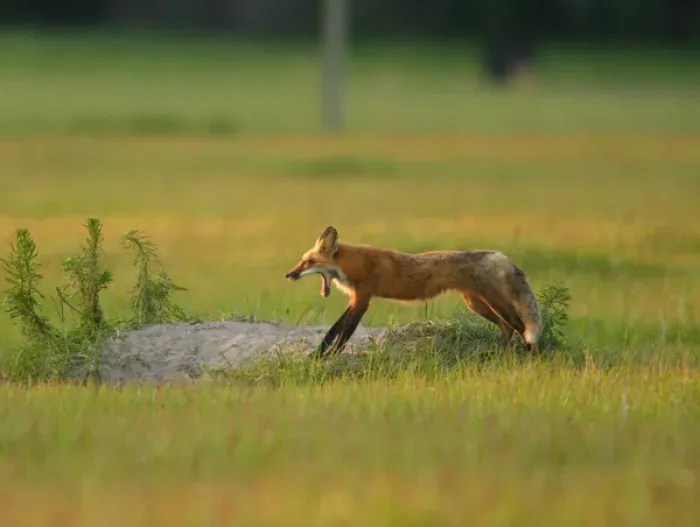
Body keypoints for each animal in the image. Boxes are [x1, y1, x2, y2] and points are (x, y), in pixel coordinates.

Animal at [285, 226, 542, 358]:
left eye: (309, 262)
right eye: (302, 261)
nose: (289, 275)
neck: (352, 264)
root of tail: (499, 255)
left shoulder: (363, 299)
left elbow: (344, 333)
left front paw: (329, 356)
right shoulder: (355, 299)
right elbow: (332, 331)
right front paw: (318, 355)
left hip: (493, 303)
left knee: (519, 326)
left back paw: (531, 356)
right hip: (477, 305)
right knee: (508, 328)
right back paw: (501, 356)